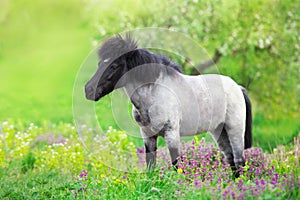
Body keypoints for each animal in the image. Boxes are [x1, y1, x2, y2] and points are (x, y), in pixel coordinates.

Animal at [85, 34, 252, 177]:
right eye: (99, 63)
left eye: (114, 65)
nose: (88, 90)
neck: (154, 92)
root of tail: (238, 88)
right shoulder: (148, 135)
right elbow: (150, 164)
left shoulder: (171, 134)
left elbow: (176, 165)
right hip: (219, 131)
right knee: (230, 158)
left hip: (234, 129)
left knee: (239, 160)